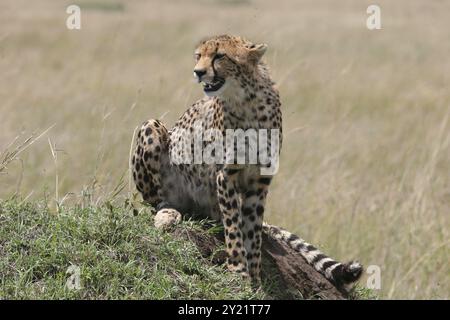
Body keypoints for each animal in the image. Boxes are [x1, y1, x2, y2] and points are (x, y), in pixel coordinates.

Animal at [132, 35, 364, 288]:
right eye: (198, 56)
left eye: (219, 56)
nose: (198, 72)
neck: (246, 99)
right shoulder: (226, 175)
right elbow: (234, 226)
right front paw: (238, 271)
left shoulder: (260, 180)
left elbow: (252, 230)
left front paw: (254, 278)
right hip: (151, 127)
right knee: (157, 201)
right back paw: (168, 213)